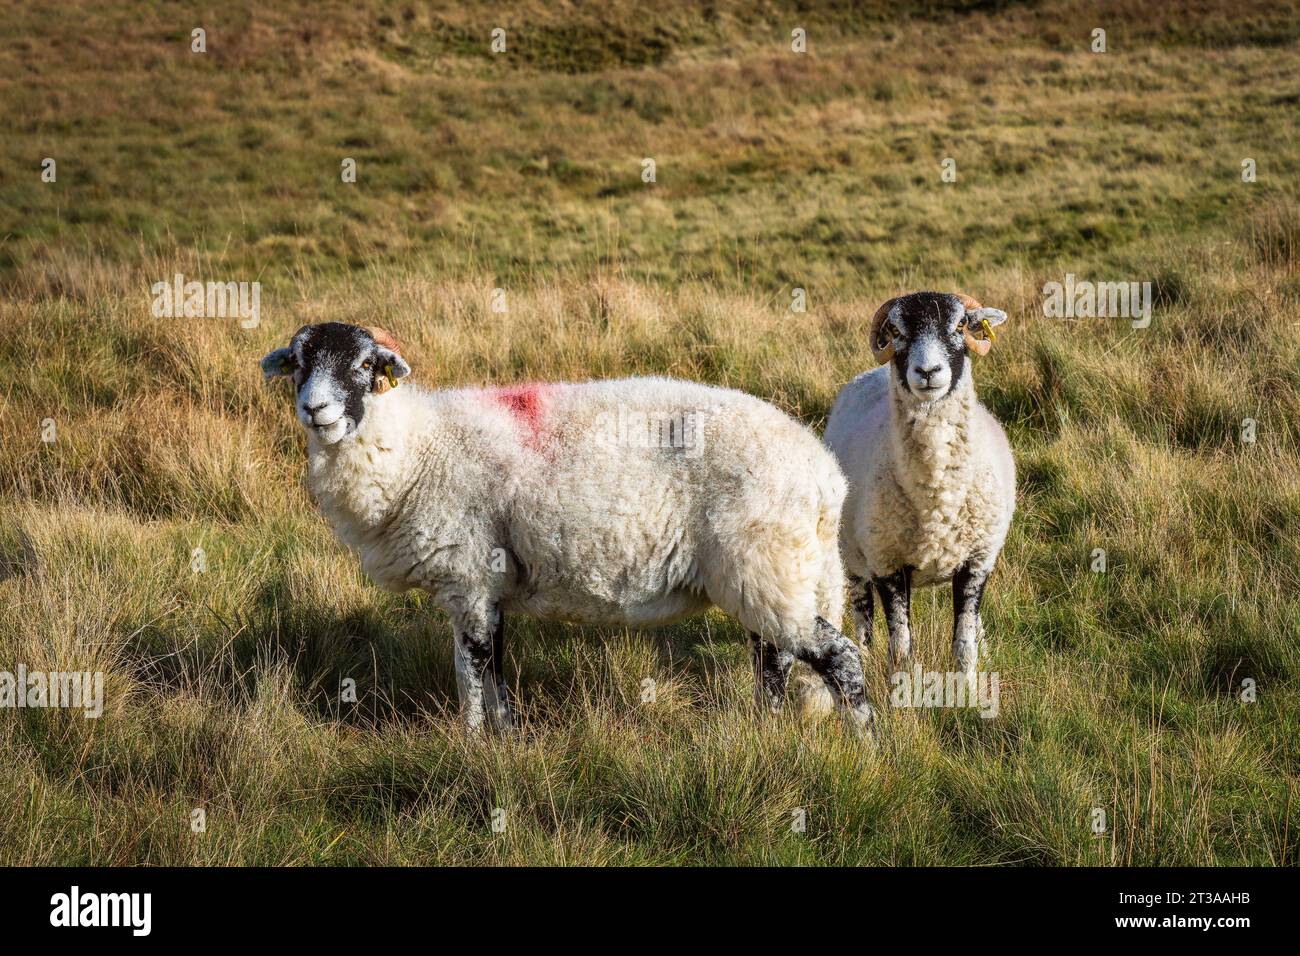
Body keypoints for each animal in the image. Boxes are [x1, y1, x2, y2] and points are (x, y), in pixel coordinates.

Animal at [258, 321, 873, 733]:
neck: (418, 450)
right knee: (776, 659)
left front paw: (471, 743)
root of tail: (826, 476)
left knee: (837, 657)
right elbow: (494, 669)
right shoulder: (491, 586)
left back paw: (866, 744)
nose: (315, 410)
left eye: (365, 365)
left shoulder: (468, 576)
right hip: (776, 572)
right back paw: (767, 732)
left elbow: (471, 671)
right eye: (297, 361)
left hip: (763, 563)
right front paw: (507, 737)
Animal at [821, 291, 1013, 681]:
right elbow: (901, 649)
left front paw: (970, 686)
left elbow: (964, 645)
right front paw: (901, 687)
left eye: (960, 325)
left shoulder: (977, 561)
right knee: (862, 611)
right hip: (852, 553)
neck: (936, 497)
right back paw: (864, 655)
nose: (927, 372)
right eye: (896, 330)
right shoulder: (888, 564)